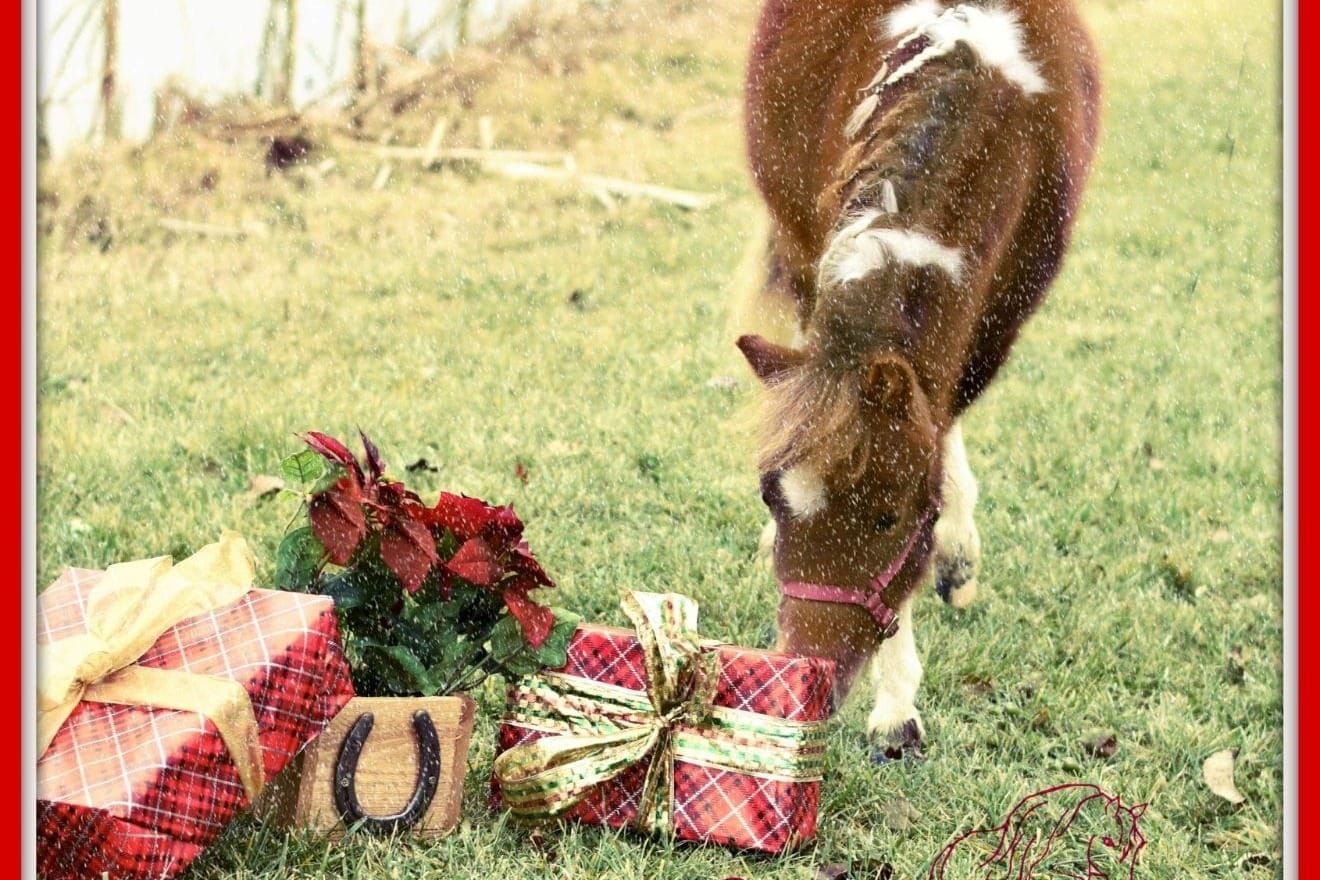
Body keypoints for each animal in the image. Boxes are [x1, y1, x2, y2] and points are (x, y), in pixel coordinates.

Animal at [734, 0, 1101, 758]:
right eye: (773, 498)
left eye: (886, 517)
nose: (804, 672)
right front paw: (897, 703)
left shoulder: (998, 321)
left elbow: (938, 439)